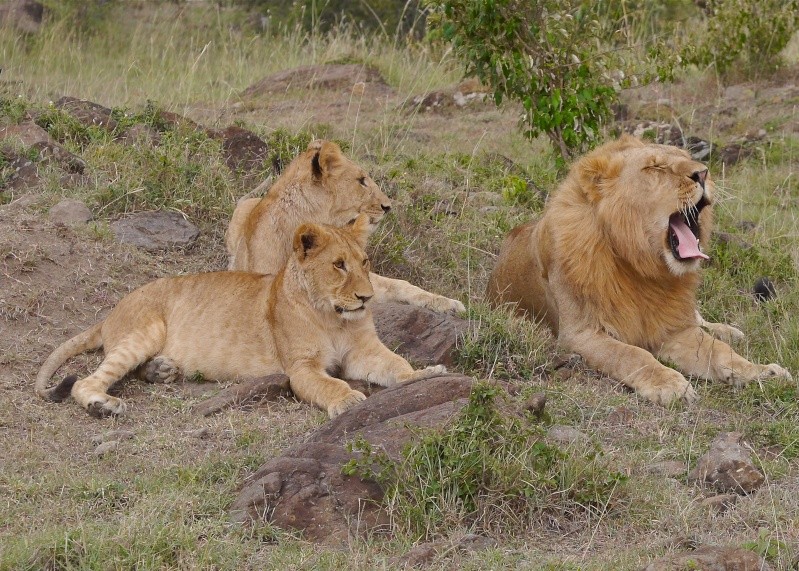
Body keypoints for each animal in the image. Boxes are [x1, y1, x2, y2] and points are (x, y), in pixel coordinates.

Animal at [37, 217, 446, 418]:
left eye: (365, 262)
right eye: (338, 265)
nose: (367, 297)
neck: (335, 317)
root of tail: (111, 312)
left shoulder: (364, 351)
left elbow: (395, 364)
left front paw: (423, 375)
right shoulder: (301, 367)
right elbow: (328, 384)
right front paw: (347, 401)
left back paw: (162, 370)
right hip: (143, 332)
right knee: (86, 380)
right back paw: (103, 405)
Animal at [488, 136, 792, 406]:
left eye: (687, 157)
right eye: (655, 167)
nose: (703, 173)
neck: (643, 269)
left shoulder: (673, 329)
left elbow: (718, 352)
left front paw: (761, 372)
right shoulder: (579, 335)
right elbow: (630, 354)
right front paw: (669, 384)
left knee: (702, 321)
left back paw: (730, 331)